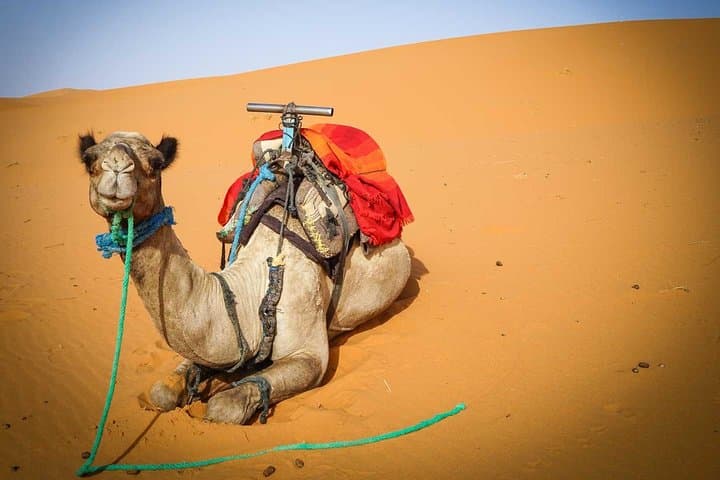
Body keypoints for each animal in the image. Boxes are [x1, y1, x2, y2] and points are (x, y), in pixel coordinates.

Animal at [78, 131, 411, 424]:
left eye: (156, 163)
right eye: (89, 159)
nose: (117, 166)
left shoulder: (309, 353)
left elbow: (225, 406)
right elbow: (163, 390)